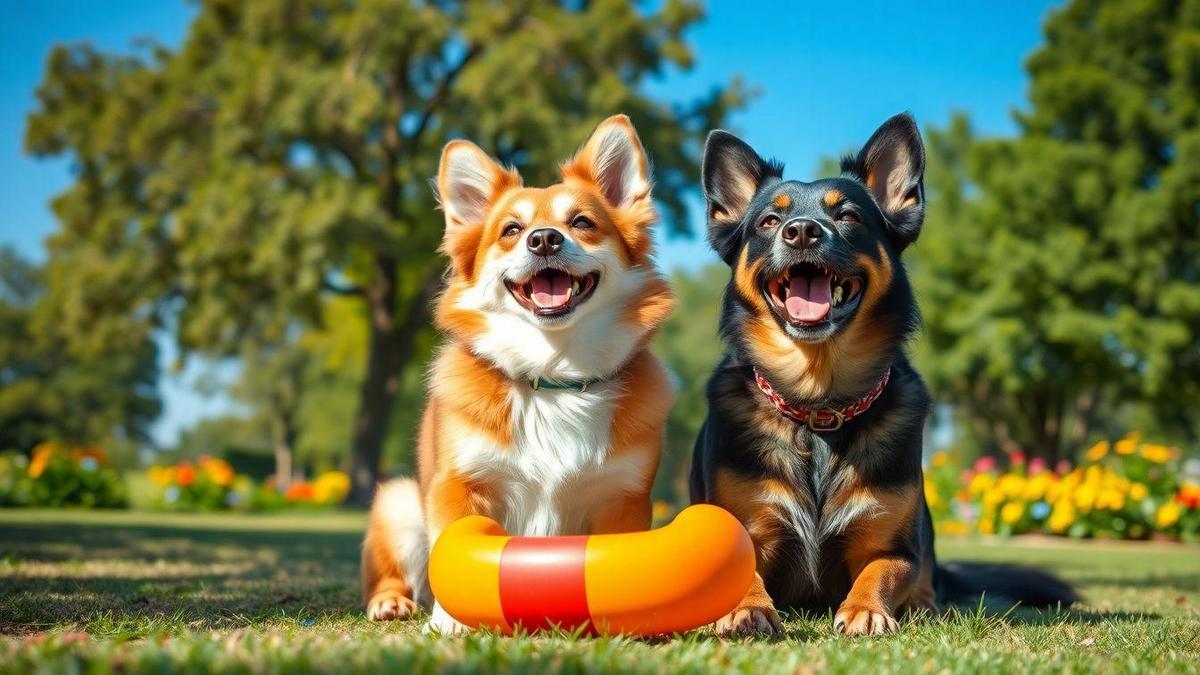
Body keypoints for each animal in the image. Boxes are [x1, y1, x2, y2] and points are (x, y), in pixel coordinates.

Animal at [360, 114, 676, 629]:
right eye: (511, 229)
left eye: (582, 222)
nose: (544, 238)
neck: (553, 373)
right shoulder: (459, 485)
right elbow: (454, 549)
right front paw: (452, 621)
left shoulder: (622, 496)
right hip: (398, 502)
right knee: (392, 574)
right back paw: (391, 602)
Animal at [691, 112, 1075, 634]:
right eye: (769, 221)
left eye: (848, 216)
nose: (802, 231)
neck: (818, 406)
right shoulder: (743, 530)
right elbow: (742, 571)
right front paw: (746, 607)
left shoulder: (896, 543)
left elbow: (885, 569)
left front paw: (866, 609)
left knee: (931, 578)